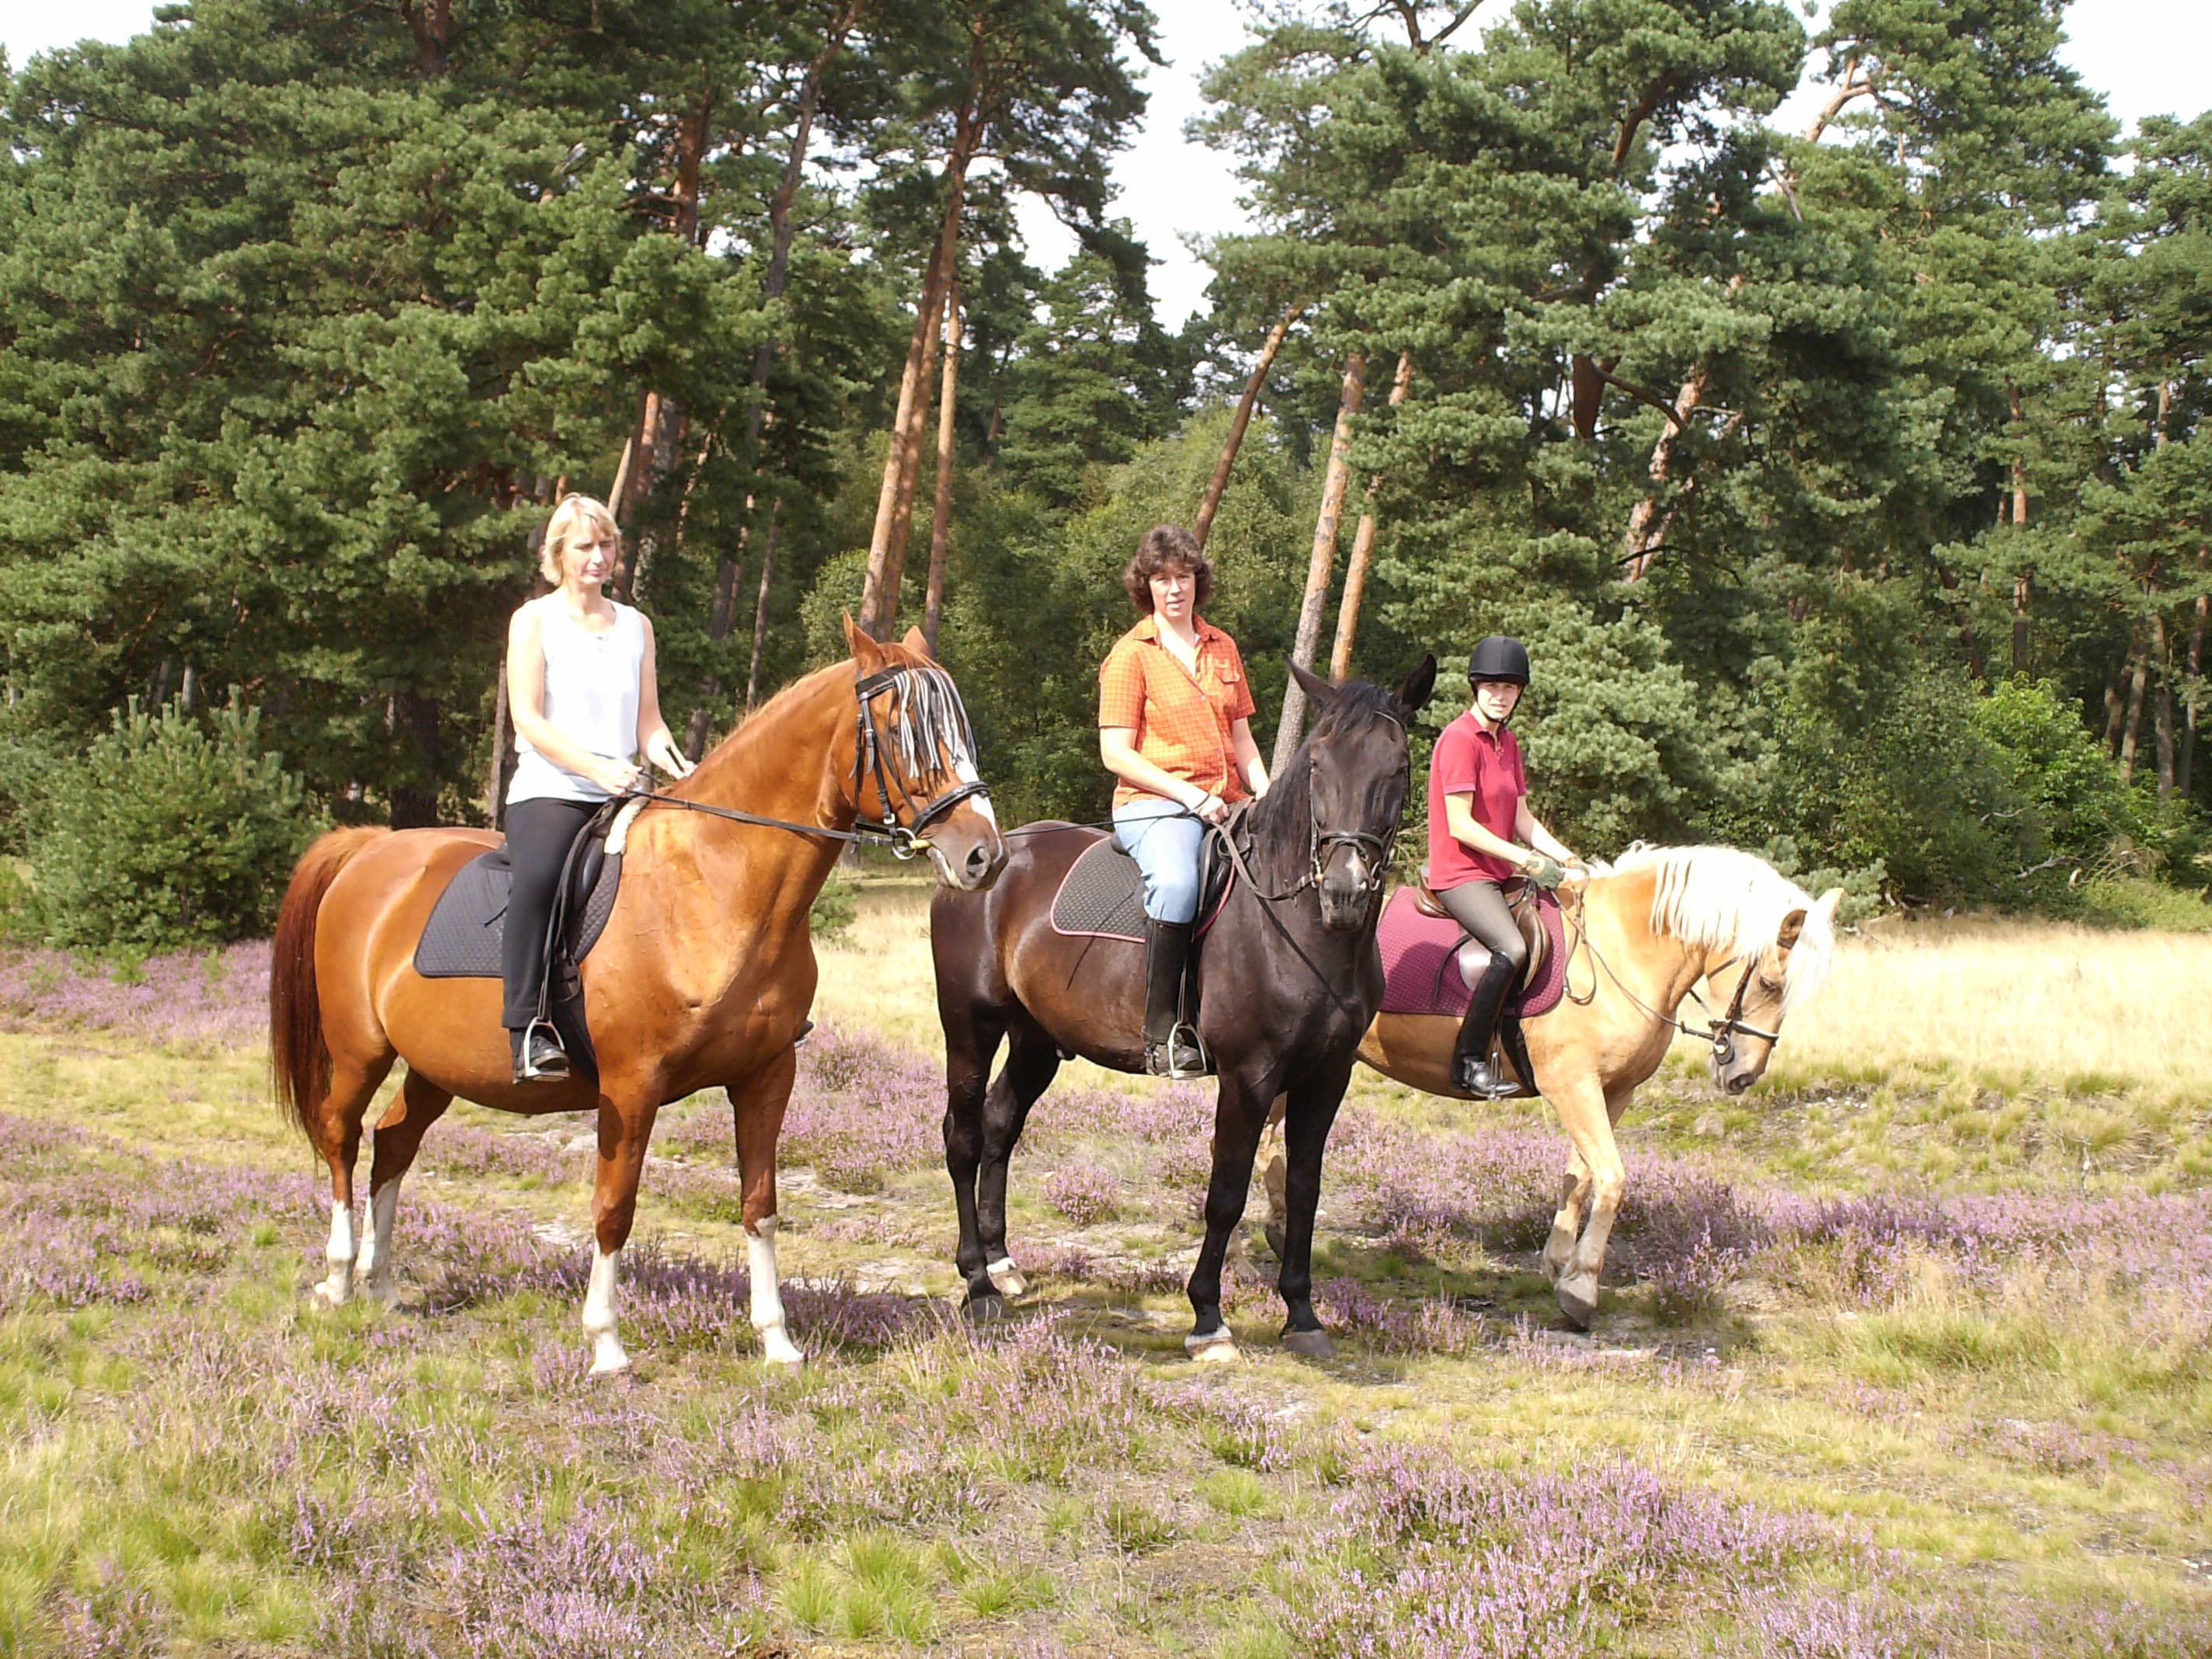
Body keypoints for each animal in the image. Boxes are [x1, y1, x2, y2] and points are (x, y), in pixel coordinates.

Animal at [272, 624, 1008, 1380]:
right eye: (900, 730)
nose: (984, 857)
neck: (714, 882)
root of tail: (369, 850)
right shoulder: (631, 1086)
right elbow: (614, 1208)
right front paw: (606, 1345)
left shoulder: (766, 1076)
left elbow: (760, 1204)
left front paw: (776, 1340)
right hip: (360, 1050)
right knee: (341, 1135)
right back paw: (339, 1279)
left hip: (434, 1067)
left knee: (393, 1143)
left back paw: (383, 1284)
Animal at [929, 659, 1433, 1362]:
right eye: (1317, 766)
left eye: (1399, 766)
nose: (1344, 892)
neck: (1296, 930)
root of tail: (984, 858)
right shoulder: (1249, 1078)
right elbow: (1226, 1193)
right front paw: (1208, 1319)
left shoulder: (1327, 1077)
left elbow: (1303, 1191)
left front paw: (1302, 1316)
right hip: (970, 1026)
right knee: (965, 1137)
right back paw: (978, 1283)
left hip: (1037, 1039)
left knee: (1002, 1123)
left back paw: (1003, 1263)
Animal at [1256, 849, 1840, 1336]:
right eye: (1769, 983)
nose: (1744, 1075)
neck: (1621, 952)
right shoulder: (1573, 1085)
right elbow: (1612, 1179)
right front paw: (1581, 1289)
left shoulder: (1612, 1091)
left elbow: (1578, 1178)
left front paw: (1559, 1264)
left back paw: (1281, 1226)